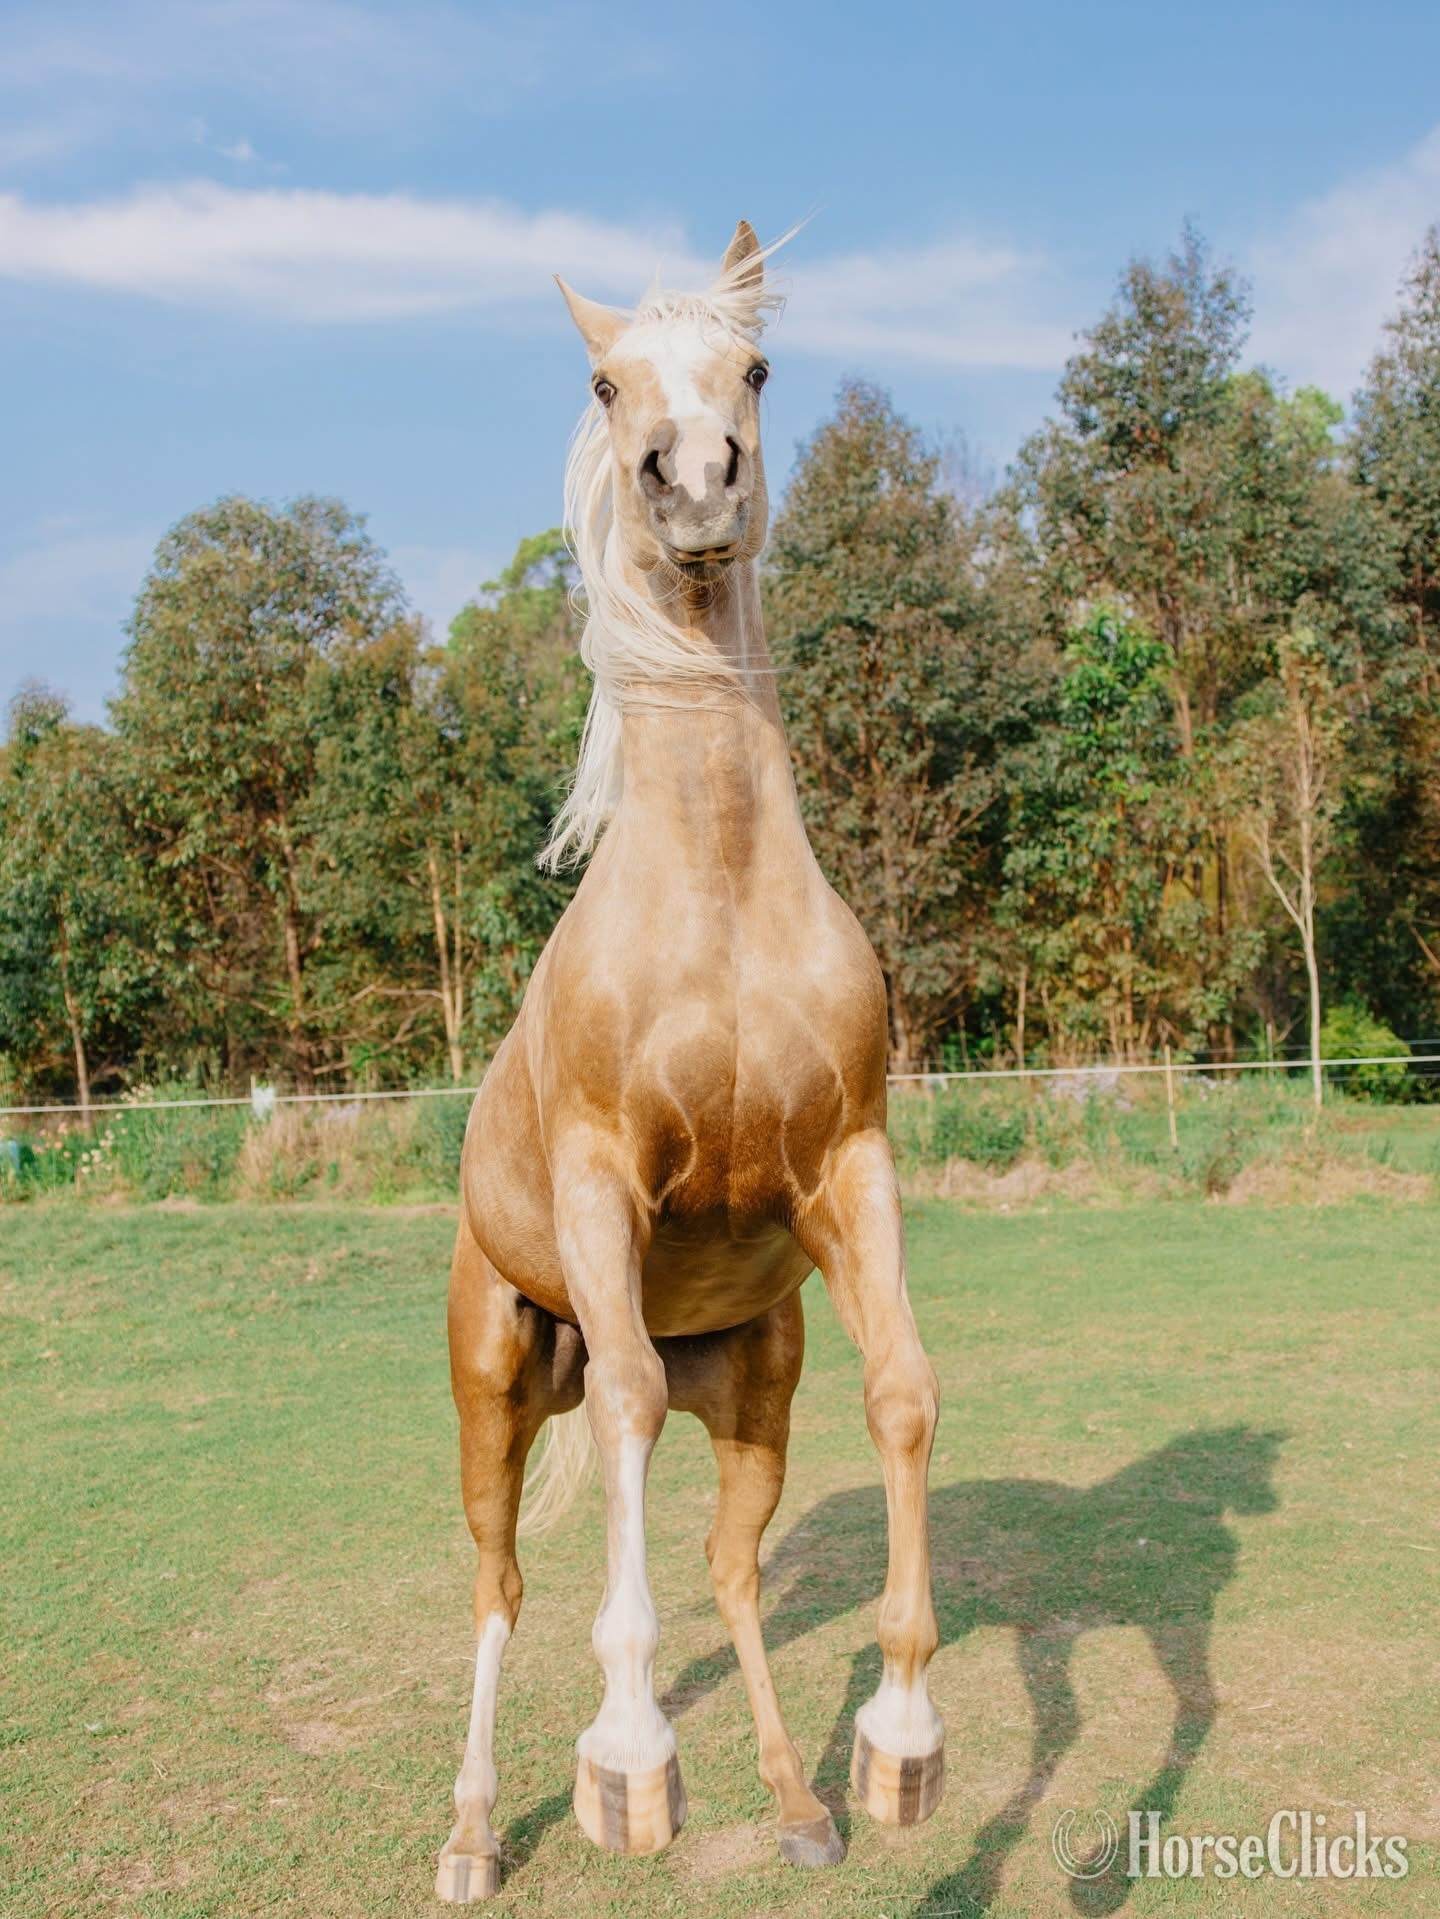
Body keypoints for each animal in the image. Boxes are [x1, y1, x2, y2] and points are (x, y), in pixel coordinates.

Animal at [434, 221, 944, 1904]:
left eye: (757, 367)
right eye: (606, 381)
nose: (696, 480)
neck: (717, 900)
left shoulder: (852, 1168)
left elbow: (907, 1388)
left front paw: (902, 1729)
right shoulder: (604, 1186)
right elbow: (629, 1417)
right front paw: (630, 1752)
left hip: (762, 1381)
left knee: (725, 1562)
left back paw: (792, 1795)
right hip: (495, 1378)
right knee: (500, 1582)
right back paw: (473, 1829)